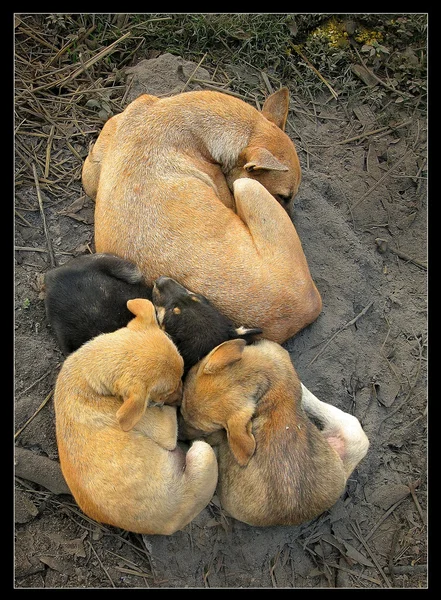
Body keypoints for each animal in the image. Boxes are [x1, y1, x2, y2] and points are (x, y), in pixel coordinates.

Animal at [53, 298, 218, 536]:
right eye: (165, 394)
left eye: (181, 375)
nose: (181, 397)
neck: (90, 379)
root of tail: (165, 526)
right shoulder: (165, 428)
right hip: (202, 452)